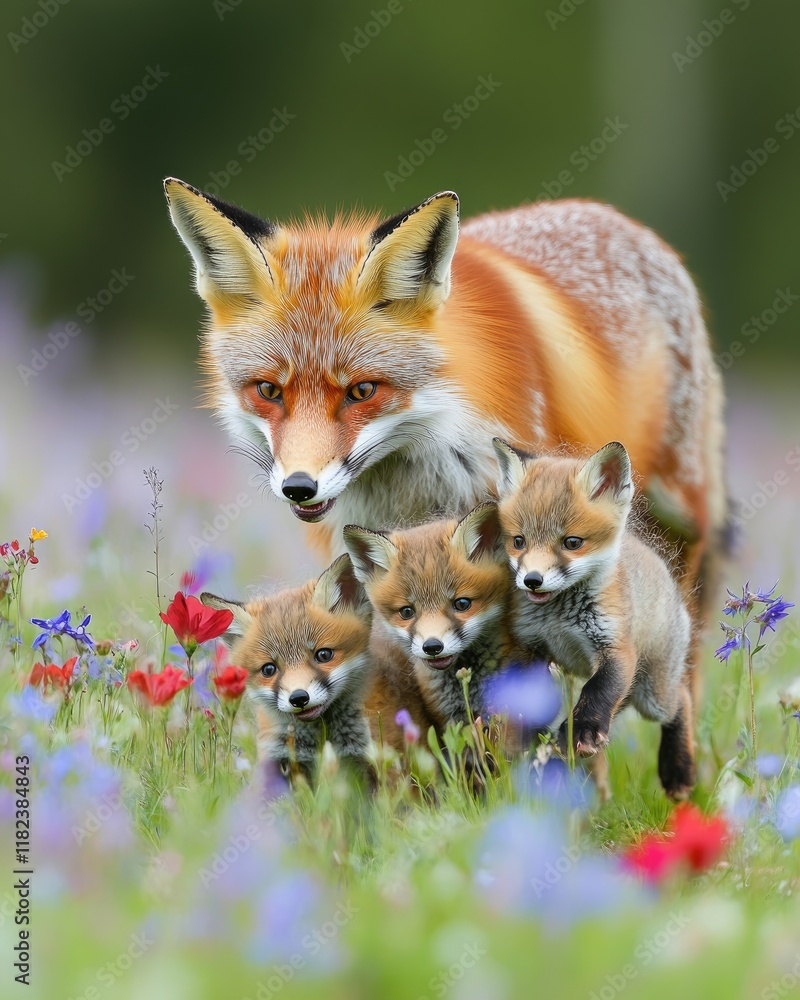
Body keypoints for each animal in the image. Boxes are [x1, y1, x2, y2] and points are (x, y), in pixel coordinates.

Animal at [163, 179, 727, 692]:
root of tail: (610, 214)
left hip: (677, 512)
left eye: (362, 390)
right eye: (268, 390)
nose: (298, 488)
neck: (412, 486)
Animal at [202, 554, 432, 785]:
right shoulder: (280, 763)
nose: (298, 698)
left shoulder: (382, 760)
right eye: (268, 669)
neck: (321, 737)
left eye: (323, 655)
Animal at [492, 438, 695, 801]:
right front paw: (526, 737)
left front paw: (583, 731)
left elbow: (597, 689)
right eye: (518, 541)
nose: (532, 580)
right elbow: (529, 697)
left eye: (572, 542)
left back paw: (678, 769)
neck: (560, 618)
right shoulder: (529, 646)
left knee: (681, 701)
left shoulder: (617, 648)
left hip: (653, 696)